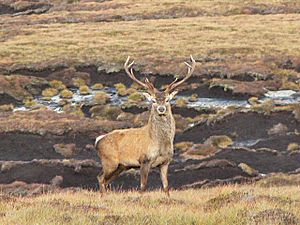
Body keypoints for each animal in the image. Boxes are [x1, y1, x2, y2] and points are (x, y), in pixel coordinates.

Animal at [94, 55, 197, 196]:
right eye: (153, 100)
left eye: (167, 100)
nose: (161, 109)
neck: (159, 144)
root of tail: (98, 140)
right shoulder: (144, 160)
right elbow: (143, 186)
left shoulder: (165, 162)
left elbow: (166, 186)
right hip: (109, 161)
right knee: (100, 178)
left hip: (121, 166)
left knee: (105, 180)